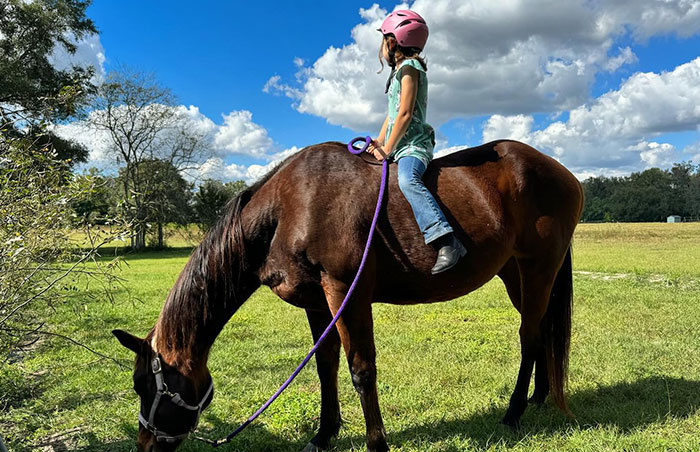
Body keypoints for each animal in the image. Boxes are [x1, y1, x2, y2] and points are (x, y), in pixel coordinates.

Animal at [113, 139, 583, 452]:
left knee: (528, 336)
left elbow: (361, 369)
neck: (289, 208)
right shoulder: (316, 301)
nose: (145, 446)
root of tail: (561, 172)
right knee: (542, 329)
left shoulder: (345, 293)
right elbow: (326, 367)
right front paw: (323, 435)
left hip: (538, 268)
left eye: (143, 386)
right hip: (516, 274)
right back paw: (539, 397)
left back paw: (514, 412)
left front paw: (376, 443)